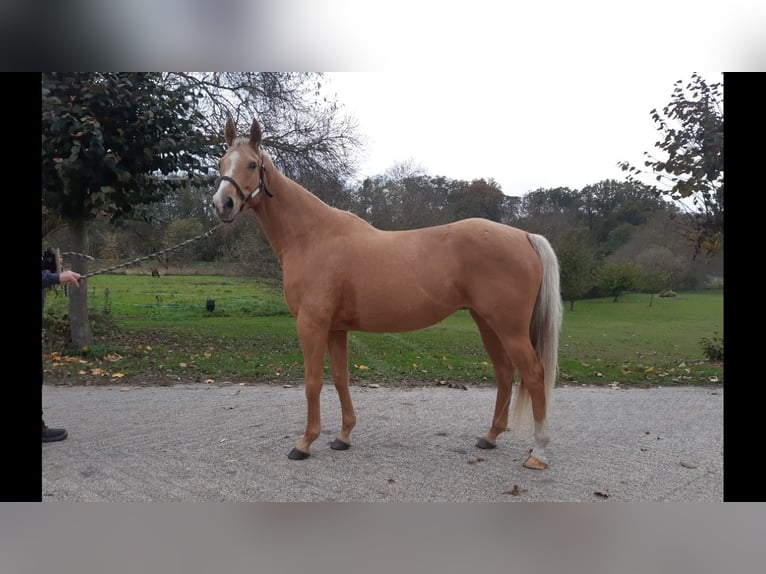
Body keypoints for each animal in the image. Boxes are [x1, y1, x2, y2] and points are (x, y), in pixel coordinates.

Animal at [212, 118, 564, 472]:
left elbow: (312, 382)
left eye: (252, 164)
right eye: (221, 162)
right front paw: (343, 436)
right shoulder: (335, 329)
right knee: (504, 372)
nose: (222, 204)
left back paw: (538, 451)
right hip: (487, 322)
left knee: (534, 375)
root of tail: (525, 236)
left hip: (510, 328)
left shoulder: (311, 325)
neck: (313, 236)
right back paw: (489, 437)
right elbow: (340, 378)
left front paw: (304, 443)